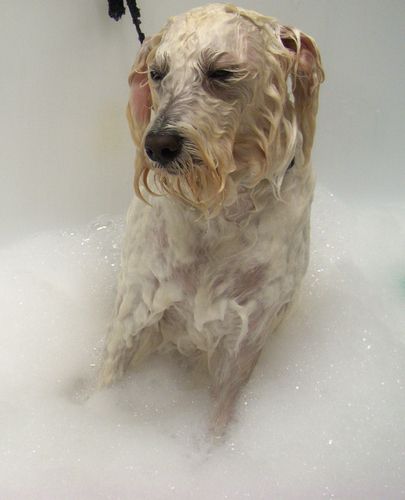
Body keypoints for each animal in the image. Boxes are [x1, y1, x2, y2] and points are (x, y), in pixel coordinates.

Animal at [99, 3, 324, 435]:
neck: (217, 211)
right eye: (157, 73)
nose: (158, 145)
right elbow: (106, 382)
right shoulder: (135, 309)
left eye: (221, 72)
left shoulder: (244, 340)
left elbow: (218, 422)